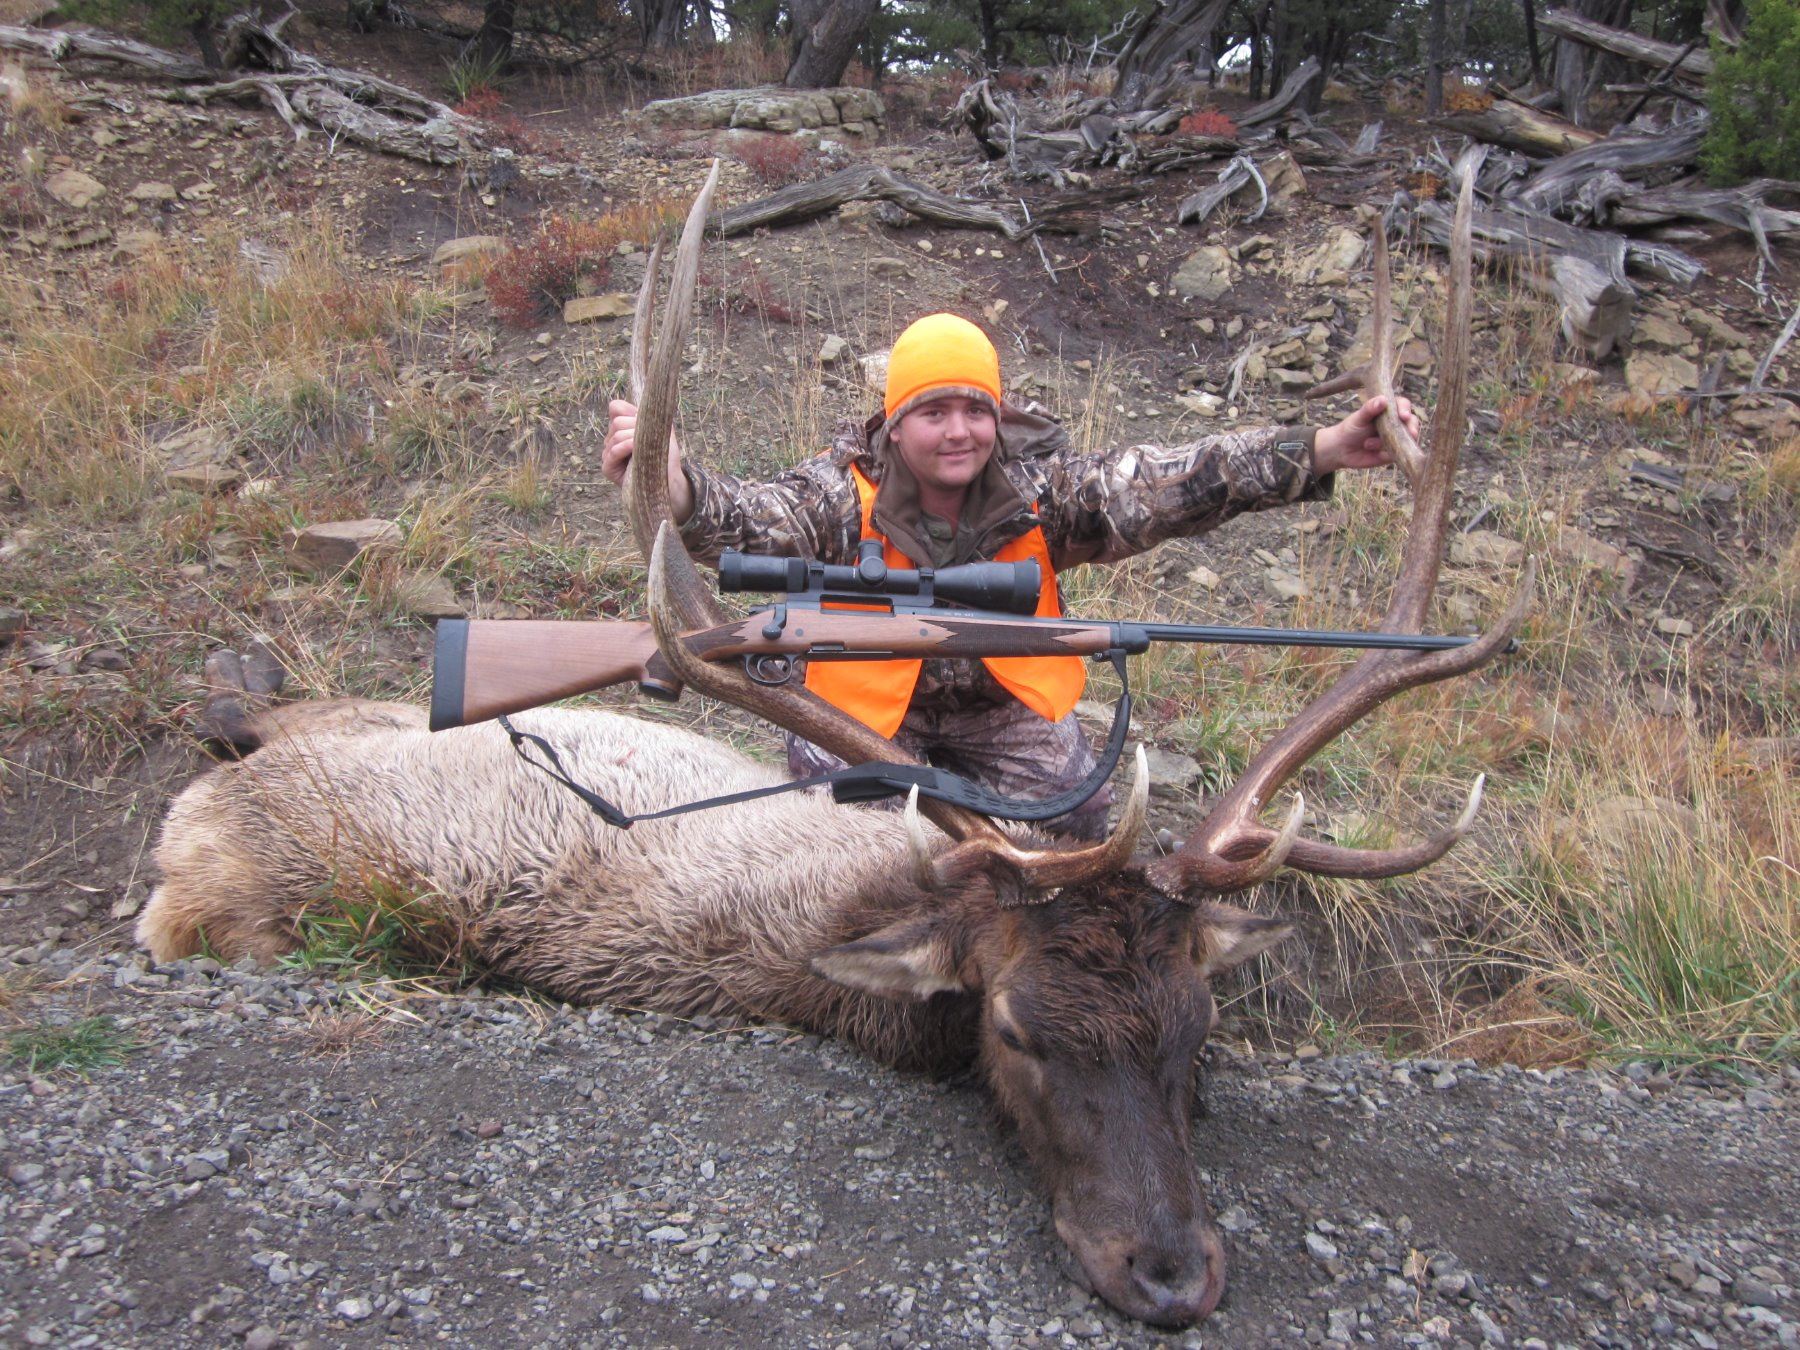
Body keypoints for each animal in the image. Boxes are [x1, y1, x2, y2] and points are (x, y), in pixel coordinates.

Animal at [138, 153, 1529, 1329]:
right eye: (1015, 1032)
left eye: (1200, 1029)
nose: (1173, 1277)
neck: (870, 912)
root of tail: (192, 831)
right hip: (245, 880)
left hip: (348, 735)